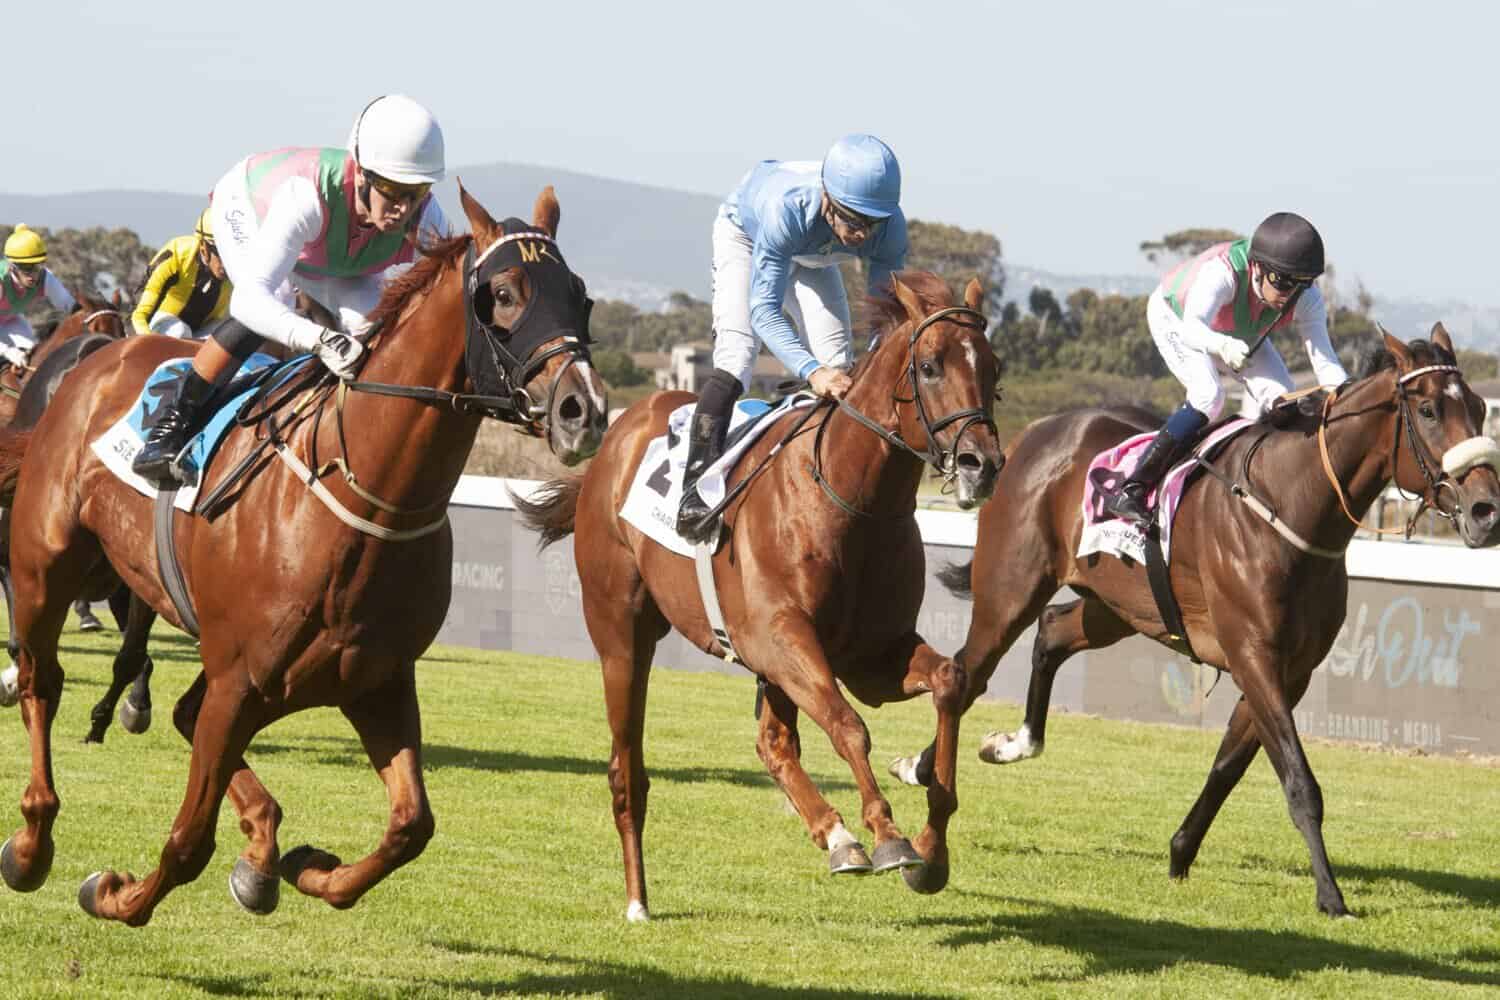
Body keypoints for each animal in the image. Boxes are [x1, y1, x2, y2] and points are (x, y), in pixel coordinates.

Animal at [0, 183, 607, 926]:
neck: (365, 498)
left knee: (176, 710)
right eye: (504, 293)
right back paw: (32, 841)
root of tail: (93, 363)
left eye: (580, 296)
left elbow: (412, 824)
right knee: (42, 681)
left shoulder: (373, 680)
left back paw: (260, 852)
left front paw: (307, 868)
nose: (584, 409)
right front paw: (115, 892)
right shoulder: (238, 679)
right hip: (46, 566)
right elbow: (187, 841)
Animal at [515, 271, 1003, 921]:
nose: (983, 464)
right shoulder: (780, 636)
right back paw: (638, 898)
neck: (852, 503)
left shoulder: (871, 654)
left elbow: (947, 682)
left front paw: (931, 850)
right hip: (622, 633)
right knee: (627, 768)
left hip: (770, 665)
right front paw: (889, 837)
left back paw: (836, 836)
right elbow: (848, 726)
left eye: (994, 368)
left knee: (772, 743)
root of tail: (620, 430)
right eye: (929, 366)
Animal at [888, 324, 1500, 917]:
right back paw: (922, 767)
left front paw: (1181, 852)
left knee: (1053, 633)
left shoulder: (1290, 671)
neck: (1289, 505)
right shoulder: (1254, 656)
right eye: (1428, 411)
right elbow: (1299, 781)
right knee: (967, 672)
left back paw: (1010, 744)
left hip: (1117, 605)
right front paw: (1331, 897)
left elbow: (1230, 765)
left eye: (1477, 407)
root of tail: (1032, 434)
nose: (1486, 510)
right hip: (1011, 589)